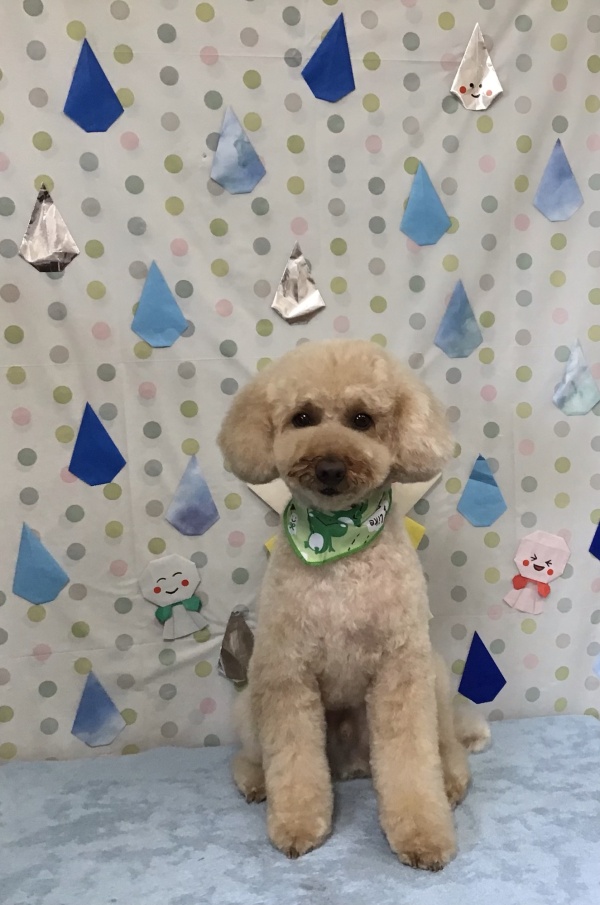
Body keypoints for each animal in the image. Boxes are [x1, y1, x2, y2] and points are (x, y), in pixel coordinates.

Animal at [217, 339, 489, 870]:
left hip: (434, 676)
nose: (329, 466)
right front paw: (298, 824)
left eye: (362, 419)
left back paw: (451, 781)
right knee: (251, 755)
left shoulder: (401, 669)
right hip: (250, 699)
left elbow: (412, 761)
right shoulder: (285, 670)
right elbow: (293, 760)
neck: (338, 544)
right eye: (302, 417)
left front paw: (424, 834)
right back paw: (256, 782)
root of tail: (351, 766)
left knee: (446, 743)